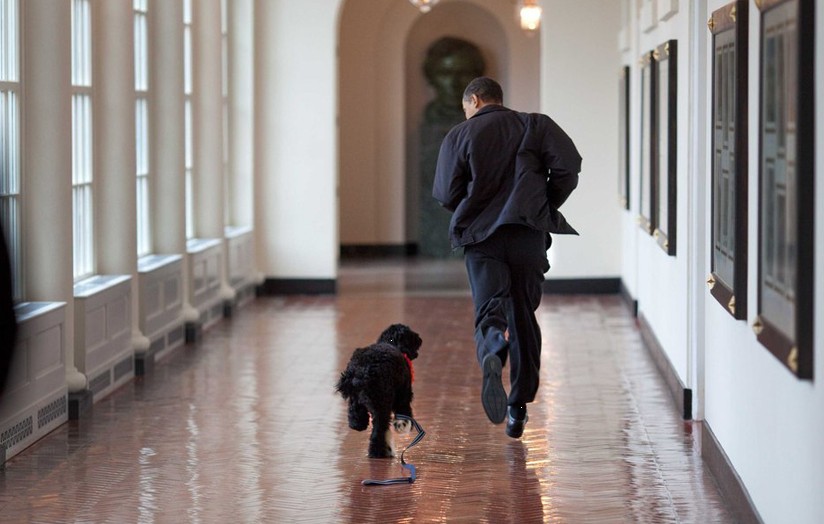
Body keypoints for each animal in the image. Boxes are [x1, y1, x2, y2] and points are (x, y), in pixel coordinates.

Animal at [336, 324, 422, 458]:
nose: (420, 339)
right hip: (382, 405)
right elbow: (405, 413)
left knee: (355, 415)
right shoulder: (403, 395)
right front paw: (403, 425)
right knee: (378, 431)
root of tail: (362, 370)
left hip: (358, 400)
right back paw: (377, 452)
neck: (391, 342)